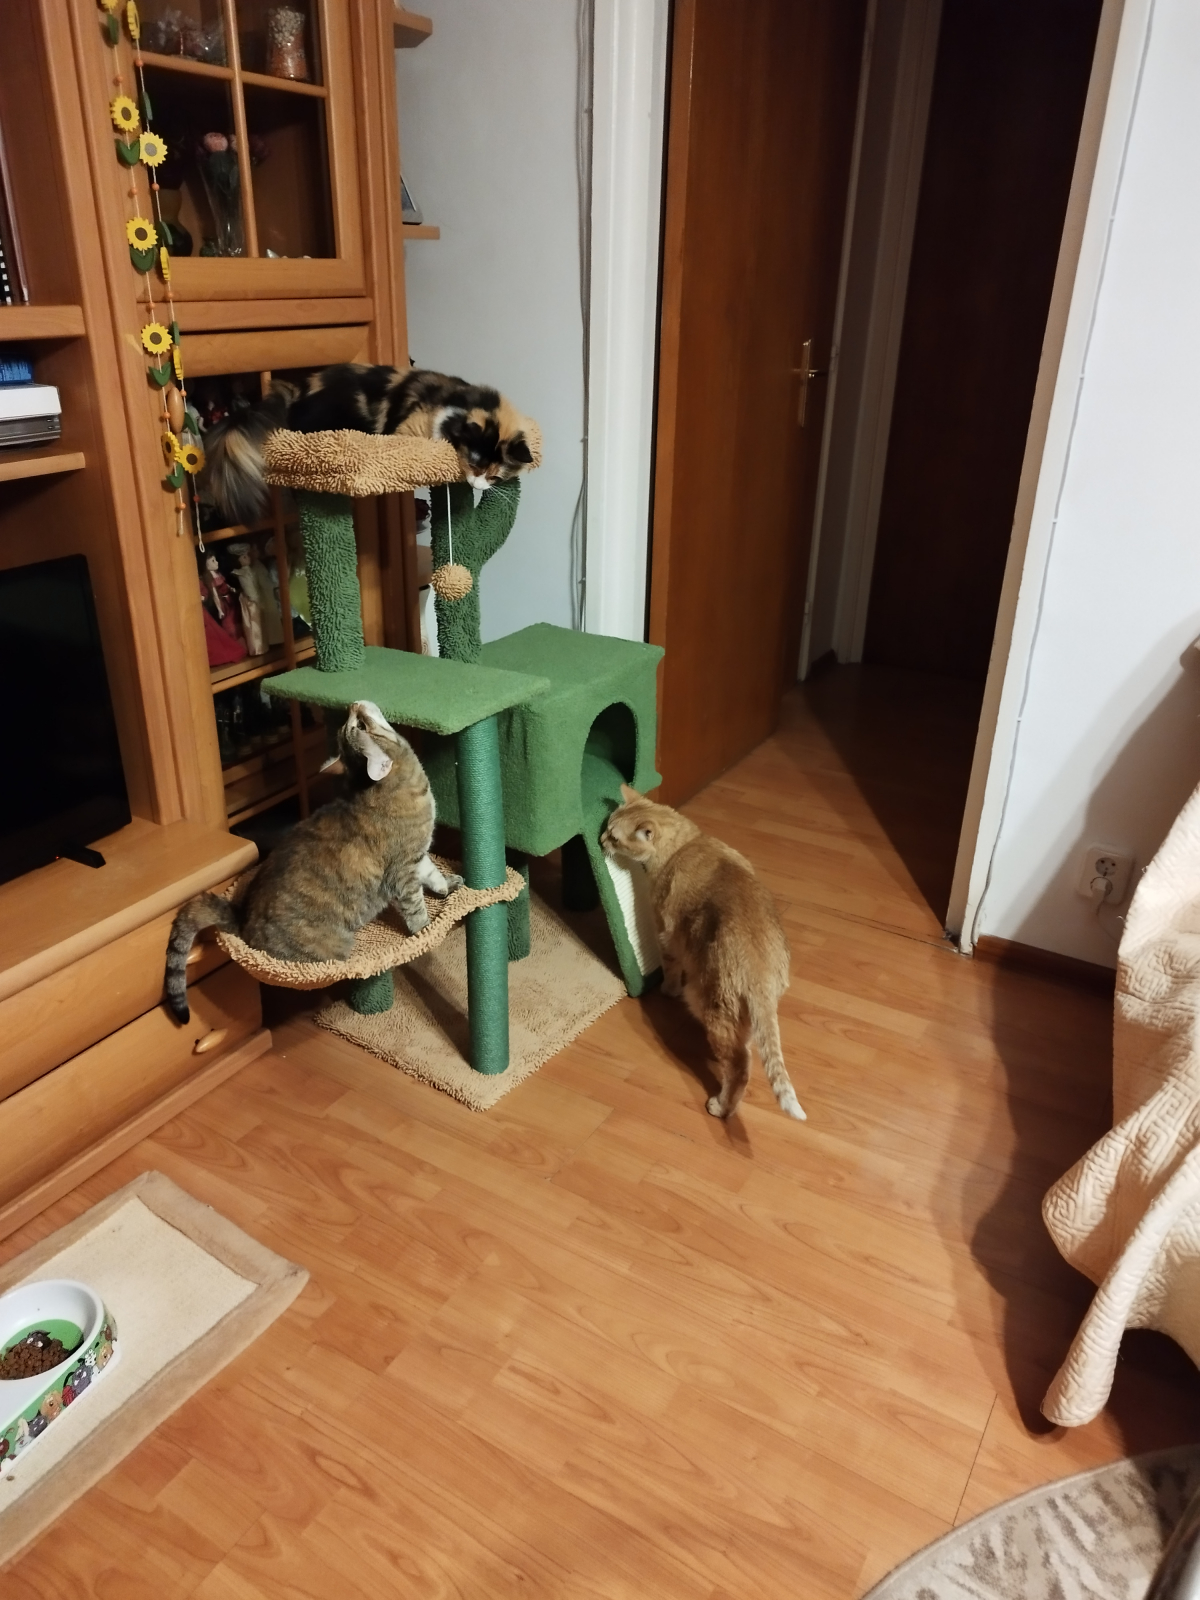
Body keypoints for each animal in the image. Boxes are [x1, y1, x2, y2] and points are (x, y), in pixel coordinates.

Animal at [163, 701, 462, 1023]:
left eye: (357, 725)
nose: (353, 704)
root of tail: (241, 918)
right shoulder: (402, 870)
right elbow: (415, 906)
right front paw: (426, 932)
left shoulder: (417, 855)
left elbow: (432, 872)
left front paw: (446, 886)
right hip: (330, 951)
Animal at [204, 363, 535, 525]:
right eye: (475, 463)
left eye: (494, 475)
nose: (478, 485)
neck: (460, 401)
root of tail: (296, 389)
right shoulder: (412, 425)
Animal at [602, 784, 805, 1122]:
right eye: (606, 828)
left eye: (614, 838)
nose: (601, 840)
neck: (685, 845)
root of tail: (761, 972)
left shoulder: (665, 934)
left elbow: (670, 968)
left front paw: (666, 990)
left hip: (708, 1006)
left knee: (740, 1067)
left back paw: (721, 1107)